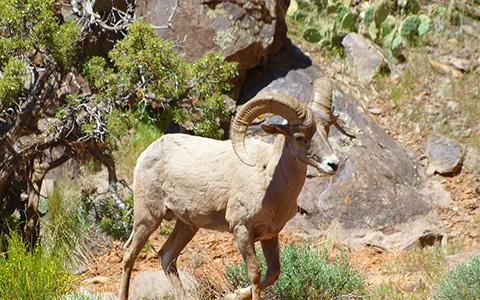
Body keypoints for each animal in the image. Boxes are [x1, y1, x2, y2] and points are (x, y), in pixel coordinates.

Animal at [117, 78, 348, 300]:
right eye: (300, 138)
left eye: (326, 131)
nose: (333, 164)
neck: (271, 181)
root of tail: (147, 153)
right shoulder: (242, 230)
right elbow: (255, 273)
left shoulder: (270, 235)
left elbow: (273, 273)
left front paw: (233, 295)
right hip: (148, 217)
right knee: (129, 253)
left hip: (187, 226)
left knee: (166, 256)